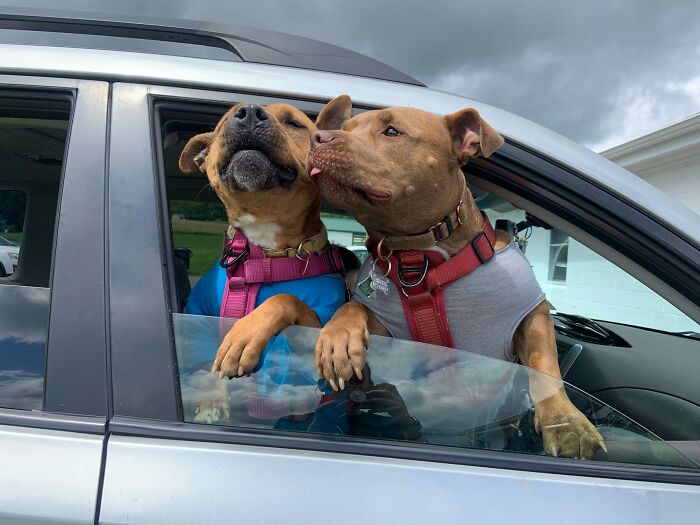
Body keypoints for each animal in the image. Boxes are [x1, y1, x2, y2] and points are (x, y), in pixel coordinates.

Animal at [178, 100, 348, 378]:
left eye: (293, 123)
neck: (265, 256)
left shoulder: (319, 319)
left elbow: (284, 298)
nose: (248, 114)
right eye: (223, 123)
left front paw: (245, 334)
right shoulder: (197, 314)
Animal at [308, 95, 604, 458]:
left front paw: (565, 422)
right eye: (345, 128)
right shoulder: (386, 326)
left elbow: (544, 364)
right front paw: (337, 339)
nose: (318, 137)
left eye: (391, 131)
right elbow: (353, 308)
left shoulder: (532, 313)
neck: (419, 256)